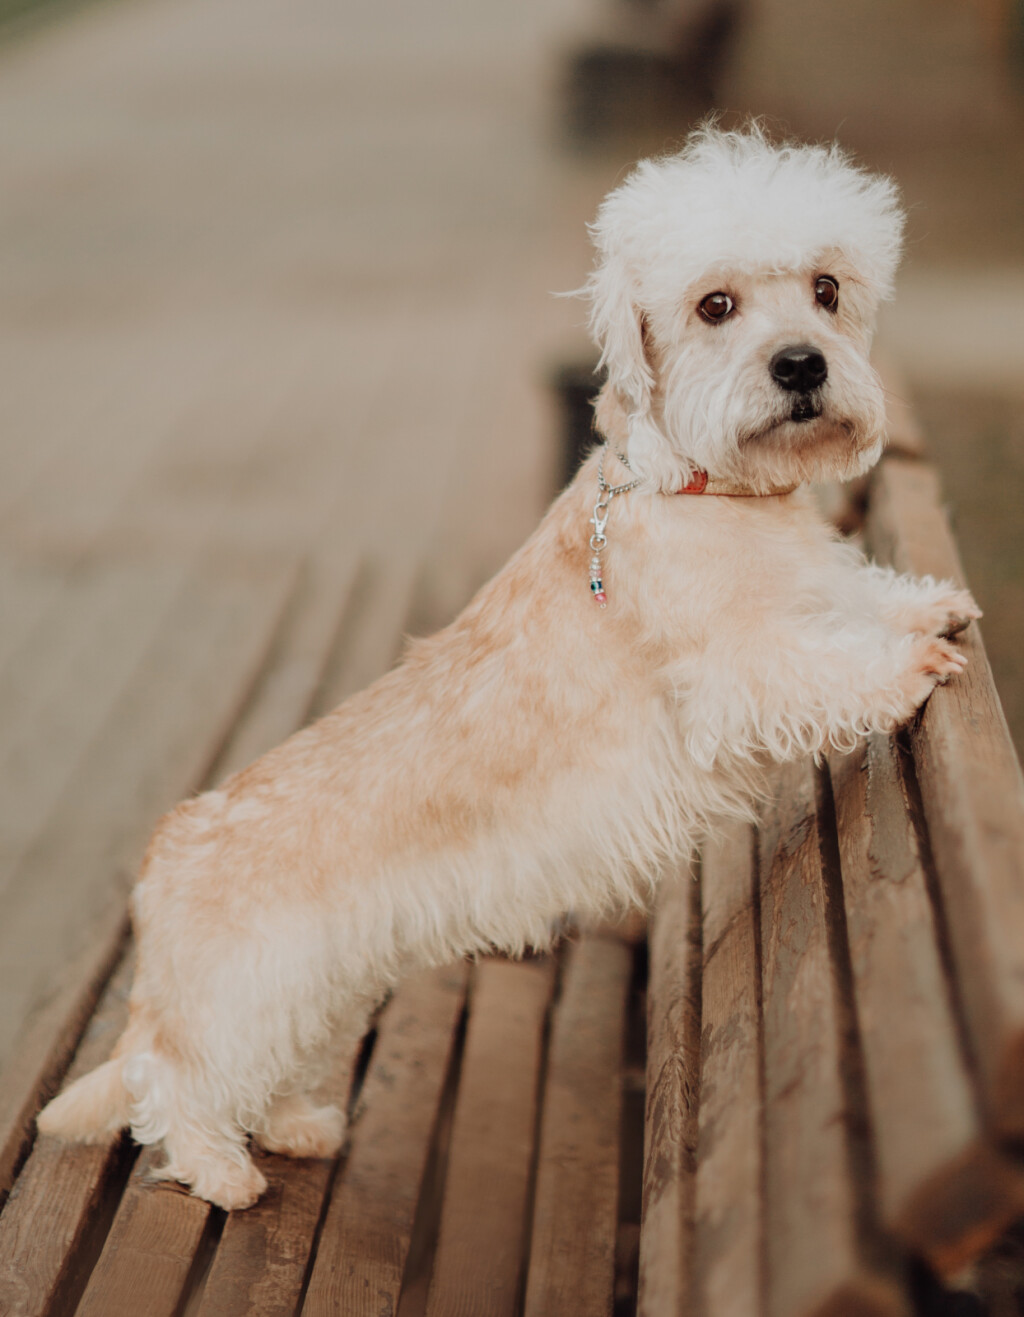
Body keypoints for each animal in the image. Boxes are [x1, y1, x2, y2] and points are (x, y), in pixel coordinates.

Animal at [35, 123, 979, 1206]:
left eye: (826, 289)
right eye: (715, 304)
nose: (801, 366)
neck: (701, 490)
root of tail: (161, 859)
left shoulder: (809, 595)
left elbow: (859, 602)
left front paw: (930, 604)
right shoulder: (740, 670)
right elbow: (828, 668)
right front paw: (908, 662)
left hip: (322, 996)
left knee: (253, 1077)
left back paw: (298, 1127)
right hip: (247, 1002)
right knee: (172, 1082)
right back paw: (221, 1171)